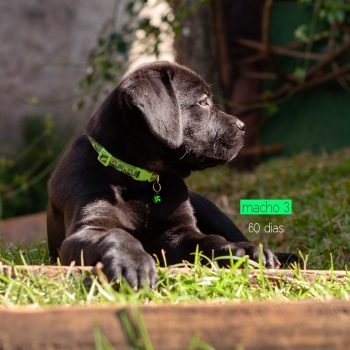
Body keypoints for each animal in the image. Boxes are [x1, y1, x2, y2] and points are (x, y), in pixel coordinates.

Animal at [47, 61, 284, 288]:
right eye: (203, 102)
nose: (243, 126)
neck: (138, 182)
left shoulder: (178, 233)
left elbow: (211, 240)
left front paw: (240, 251)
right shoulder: (86, 229)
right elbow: (116, 234)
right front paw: (133, 262)